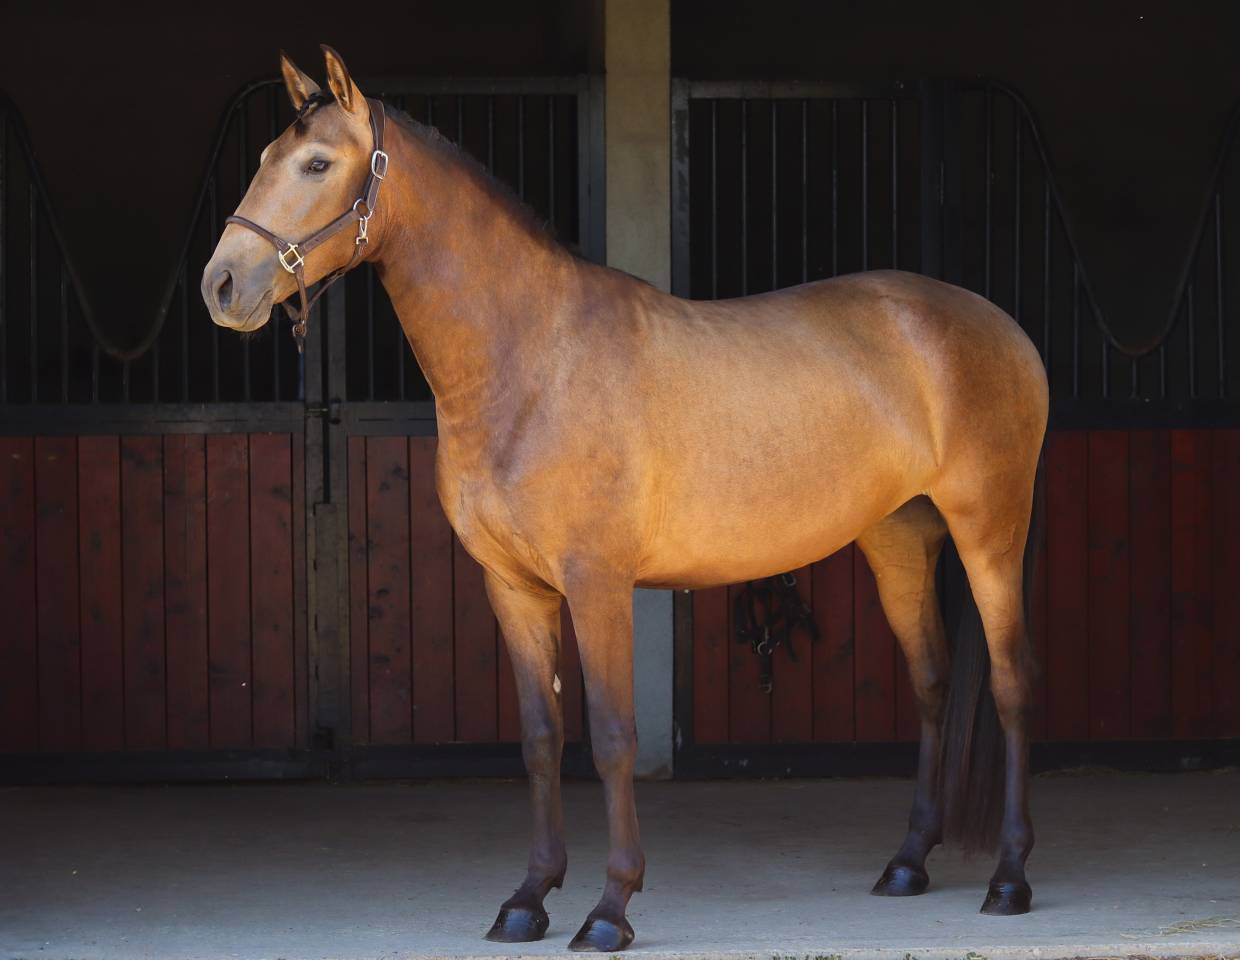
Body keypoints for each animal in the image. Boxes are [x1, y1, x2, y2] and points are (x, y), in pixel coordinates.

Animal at [203, 47, 1049, 953]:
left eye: (318, 164)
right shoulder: (514, 589)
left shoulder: (597, 584)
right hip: (898, 541)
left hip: (991, 535)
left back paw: (1009, 878)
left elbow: (610, 738)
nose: (222, 285)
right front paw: (528, 898)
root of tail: (997, 326)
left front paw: (610, 908)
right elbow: (541, 739)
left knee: (1012, 687)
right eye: (264, 158)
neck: (532, 358)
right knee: (931, 686)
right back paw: (908, 864)